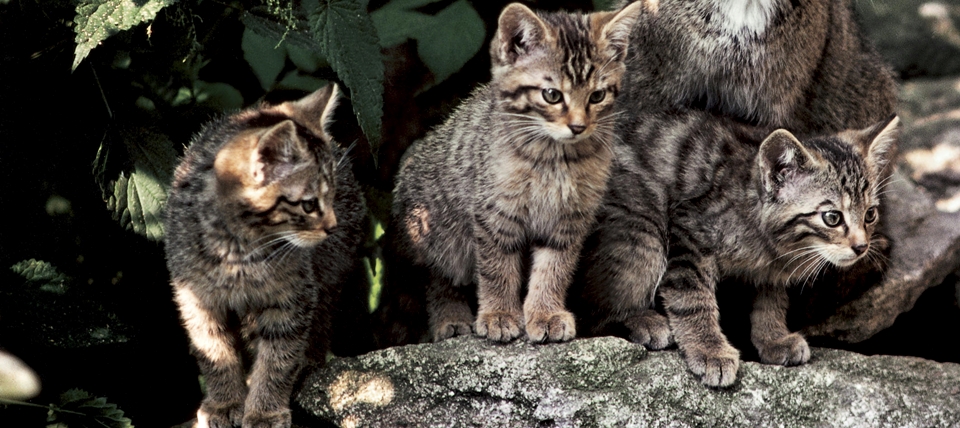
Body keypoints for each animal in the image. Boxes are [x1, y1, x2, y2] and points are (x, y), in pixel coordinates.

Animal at [163, 84, 366, 428]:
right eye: (309, 205)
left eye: (332, 197)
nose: (331, 227)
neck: (240, 251)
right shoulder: (196, 296)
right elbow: (213, 349)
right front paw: (224, 402)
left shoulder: (293, 295)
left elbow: (279, 355)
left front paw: (264, 410)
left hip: (331, 271)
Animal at [390, 1, 652, 344]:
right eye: (552, 95)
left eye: (597, 96)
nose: (578, 126)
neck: (554, 159)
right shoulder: (495, 213)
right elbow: (497, 268)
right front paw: (499, 314)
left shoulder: (568, 220)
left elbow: (554, 269)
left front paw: (546, 313)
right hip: (436, 231)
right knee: (438, 276)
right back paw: (451, 317)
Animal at [584, 108, 900, 386]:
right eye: (832, 217)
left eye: (870, 214)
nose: (862, 246)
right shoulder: (689, 229)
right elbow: (691, 297)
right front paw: (709, 350)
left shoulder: (772, 269)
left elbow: (771, 299)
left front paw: (773, 338)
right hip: (641, 229)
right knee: (598, 312)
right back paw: (638, 318)